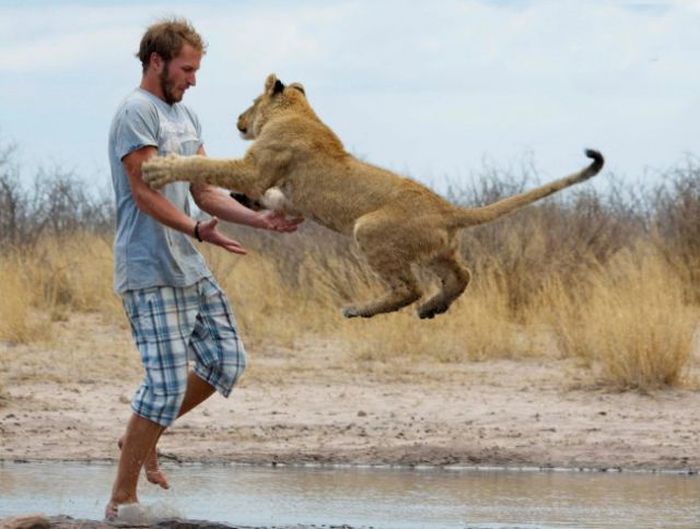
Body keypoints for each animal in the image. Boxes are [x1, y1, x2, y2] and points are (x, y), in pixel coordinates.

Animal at [142, 72, 600, 320]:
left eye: (251, 102)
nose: (238, 119)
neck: (299, 113)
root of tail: (447, 208)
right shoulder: (287, 194)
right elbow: (271, 199)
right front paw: (248, 204)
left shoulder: (257, 167)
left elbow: (207, 166)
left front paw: (160, 169)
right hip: (438, 249)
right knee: (462, 275)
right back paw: (433, 308)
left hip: (370, 229)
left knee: (408, 288)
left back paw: (360, 309)